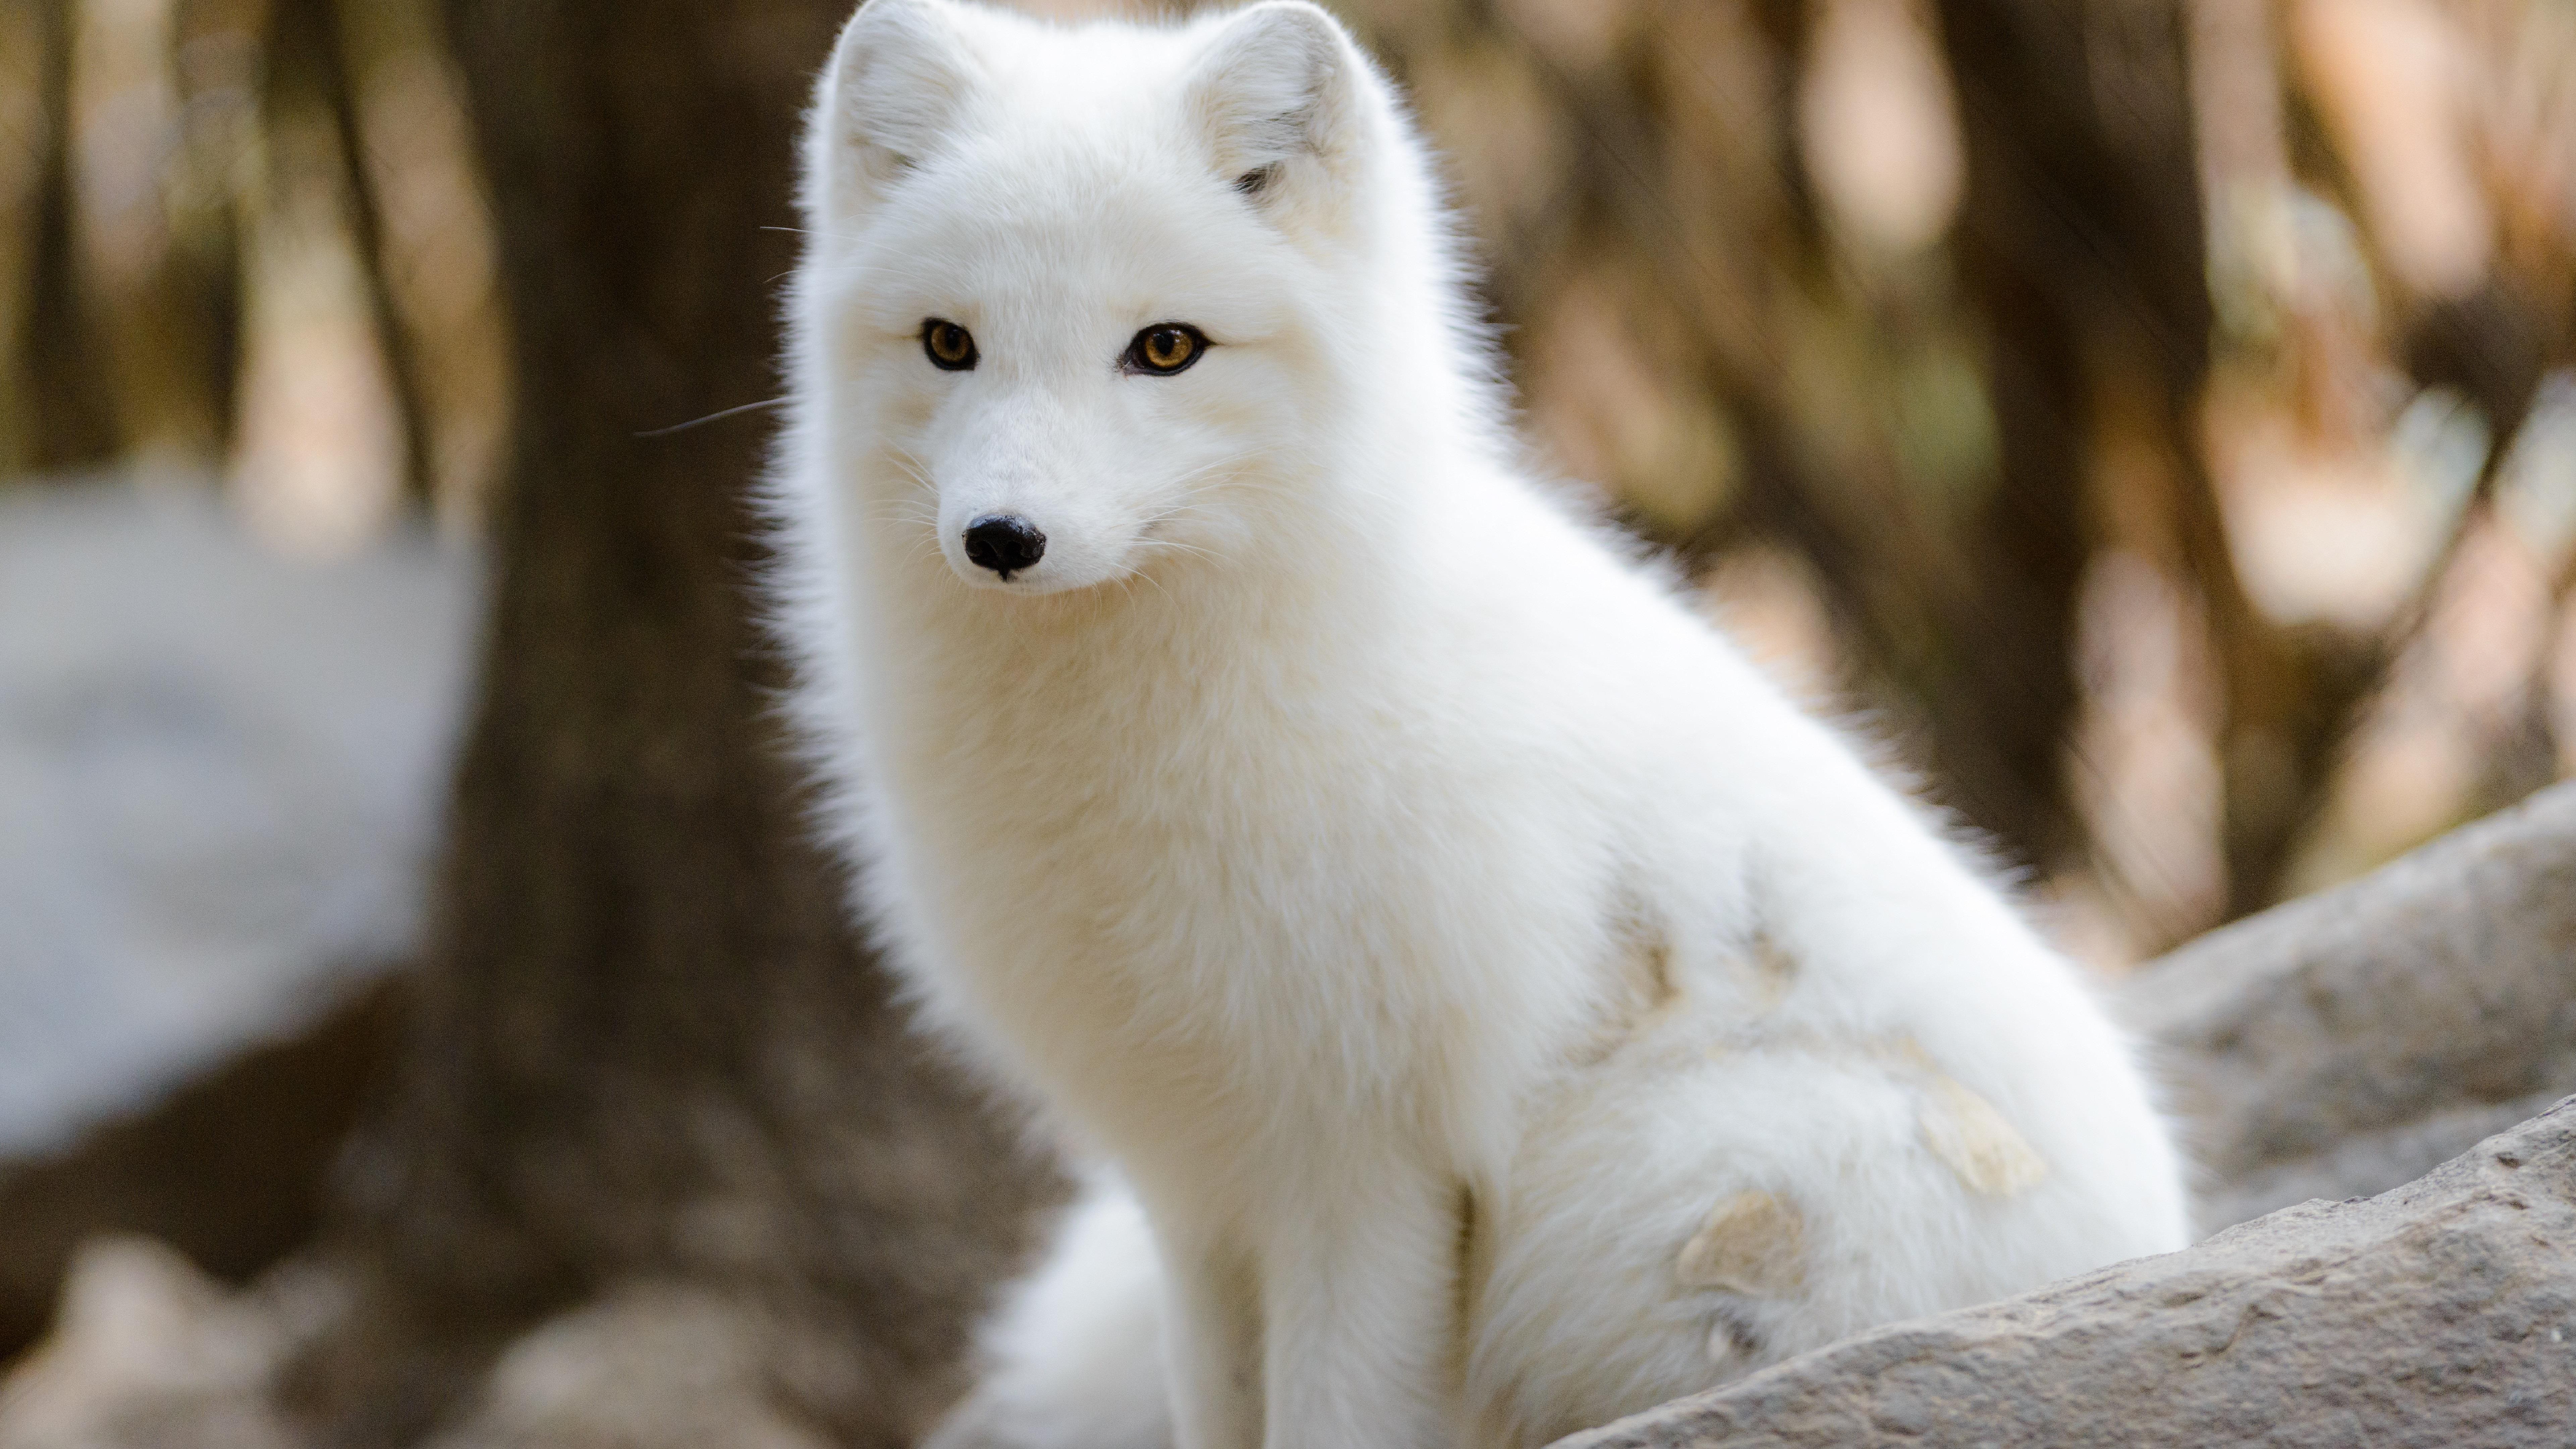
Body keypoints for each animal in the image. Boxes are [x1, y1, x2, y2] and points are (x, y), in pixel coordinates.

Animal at [765, 1, 2193, 1445]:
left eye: (1165, 347)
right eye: (949, 343)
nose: (1003, 539)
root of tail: (2163, 1231)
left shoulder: (1367, 1157)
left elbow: (1335, 1414)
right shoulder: (1192, 1171)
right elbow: (1218, 1404)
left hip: (1661, 1185)